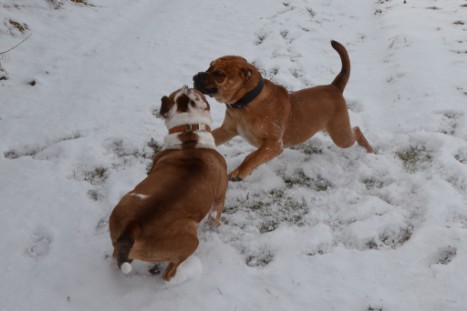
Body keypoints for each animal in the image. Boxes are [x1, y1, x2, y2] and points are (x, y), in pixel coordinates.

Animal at [108, 86, 229, 282]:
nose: (187, 85)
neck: (189, 132)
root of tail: (133, 228)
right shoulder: (219, 197)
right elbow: (215, 217)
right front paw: (216, 227)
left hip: (118, 226)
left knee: (114, 258)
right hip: (190, 240)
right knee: (169, 272)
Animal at [193, 41, 372, 183]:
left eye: (219, 74)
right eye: (209, 65)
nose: (196, 76)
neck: (245, 104)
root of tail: (334, 87)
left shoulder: (273, 144)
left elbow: (252, 156)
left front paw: (239, 172)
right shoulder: (227, 130)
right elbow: (211, 136)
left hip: (341, 135)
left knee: (356, 130)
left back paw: (369, 150)